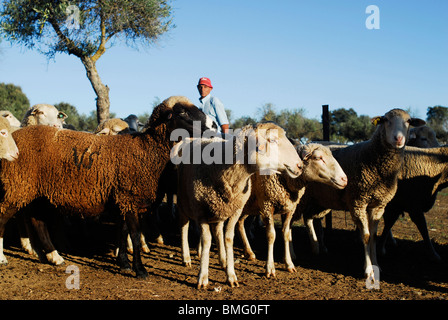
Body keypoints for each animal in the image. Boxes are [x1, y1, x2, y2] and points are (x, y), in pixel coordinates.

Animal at [0, 95, 215, 278]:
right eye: (182, 113)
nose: (213, 130)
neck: (147, 150)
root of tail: (16, 137)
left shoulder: (122, 199)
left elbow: (122, 231)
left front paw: (124, 263)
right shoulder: (129, 198)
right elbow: (134, 235)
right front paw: (140, 270)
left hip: (36, 194)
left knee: (37, 222)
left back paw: (53, 257)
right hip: (15, 187)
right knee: (4, 219)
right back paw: (6, 258)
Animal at [173, 122, 302, 288]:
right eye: (272, 140)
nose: (300, 166)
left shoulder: (235, 210)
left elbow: (228, 238)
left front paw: (231, 275)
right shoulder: (201, 211)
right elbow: (207, 240)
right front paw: (202, 277)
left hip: (220, 208)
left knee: (218, 230)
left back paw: (222, 260)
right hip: (184, 201)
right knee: (184, 226)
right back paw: (186, 257)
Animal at [296, 109, 426, 278]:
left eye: (409, 121)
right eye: (386, 120)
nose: (398, 139)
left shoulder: (378, 206)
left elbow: (373, 237)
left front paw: (376, 265)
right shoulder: (358, 202)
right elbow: (365, 236)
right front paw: (368, 269)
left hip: (322, 199)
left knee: (309, 217)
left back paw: (317, 247)